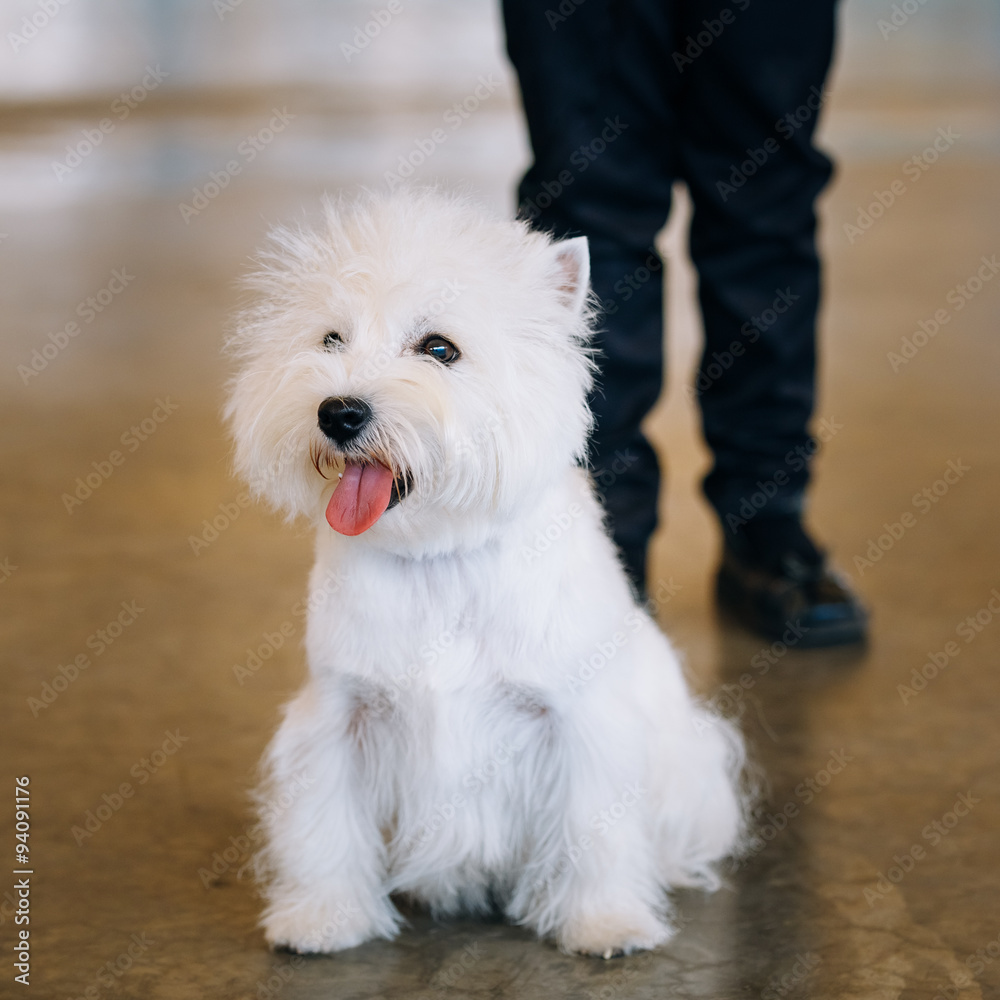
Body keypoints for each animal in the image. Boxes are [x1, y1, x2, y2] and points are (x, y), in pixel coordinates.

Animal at [223, 189, 748, 960]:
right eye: (330, 340)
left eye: (440, 349)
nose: (339, 412)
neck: (439, 557)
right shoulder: (340, 712)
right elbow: (324, 824)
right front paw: (323, 919)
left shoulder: (574, 720)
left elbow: (595, 828)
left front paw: (604, 923)